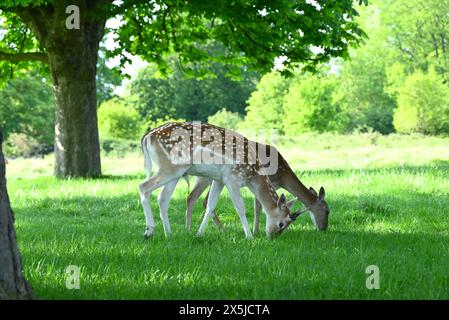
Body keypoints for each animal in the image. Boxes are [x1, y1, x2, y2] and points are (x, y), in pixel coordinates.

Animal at [138, 121, 302, 239]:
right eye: (281, 224)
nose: (273, 237)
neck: (252, 175)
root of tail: (147, 136)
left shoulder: (219, 180)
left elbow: (210, 205)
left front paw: (199, 234)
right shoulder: (232, 178)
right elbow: (240, 208)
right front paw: (249, 236)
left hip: (176, 173)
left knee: (162, 198)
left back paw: (169, 234)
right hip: (170, 168)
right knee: (143, 186)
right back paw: (148, 232)